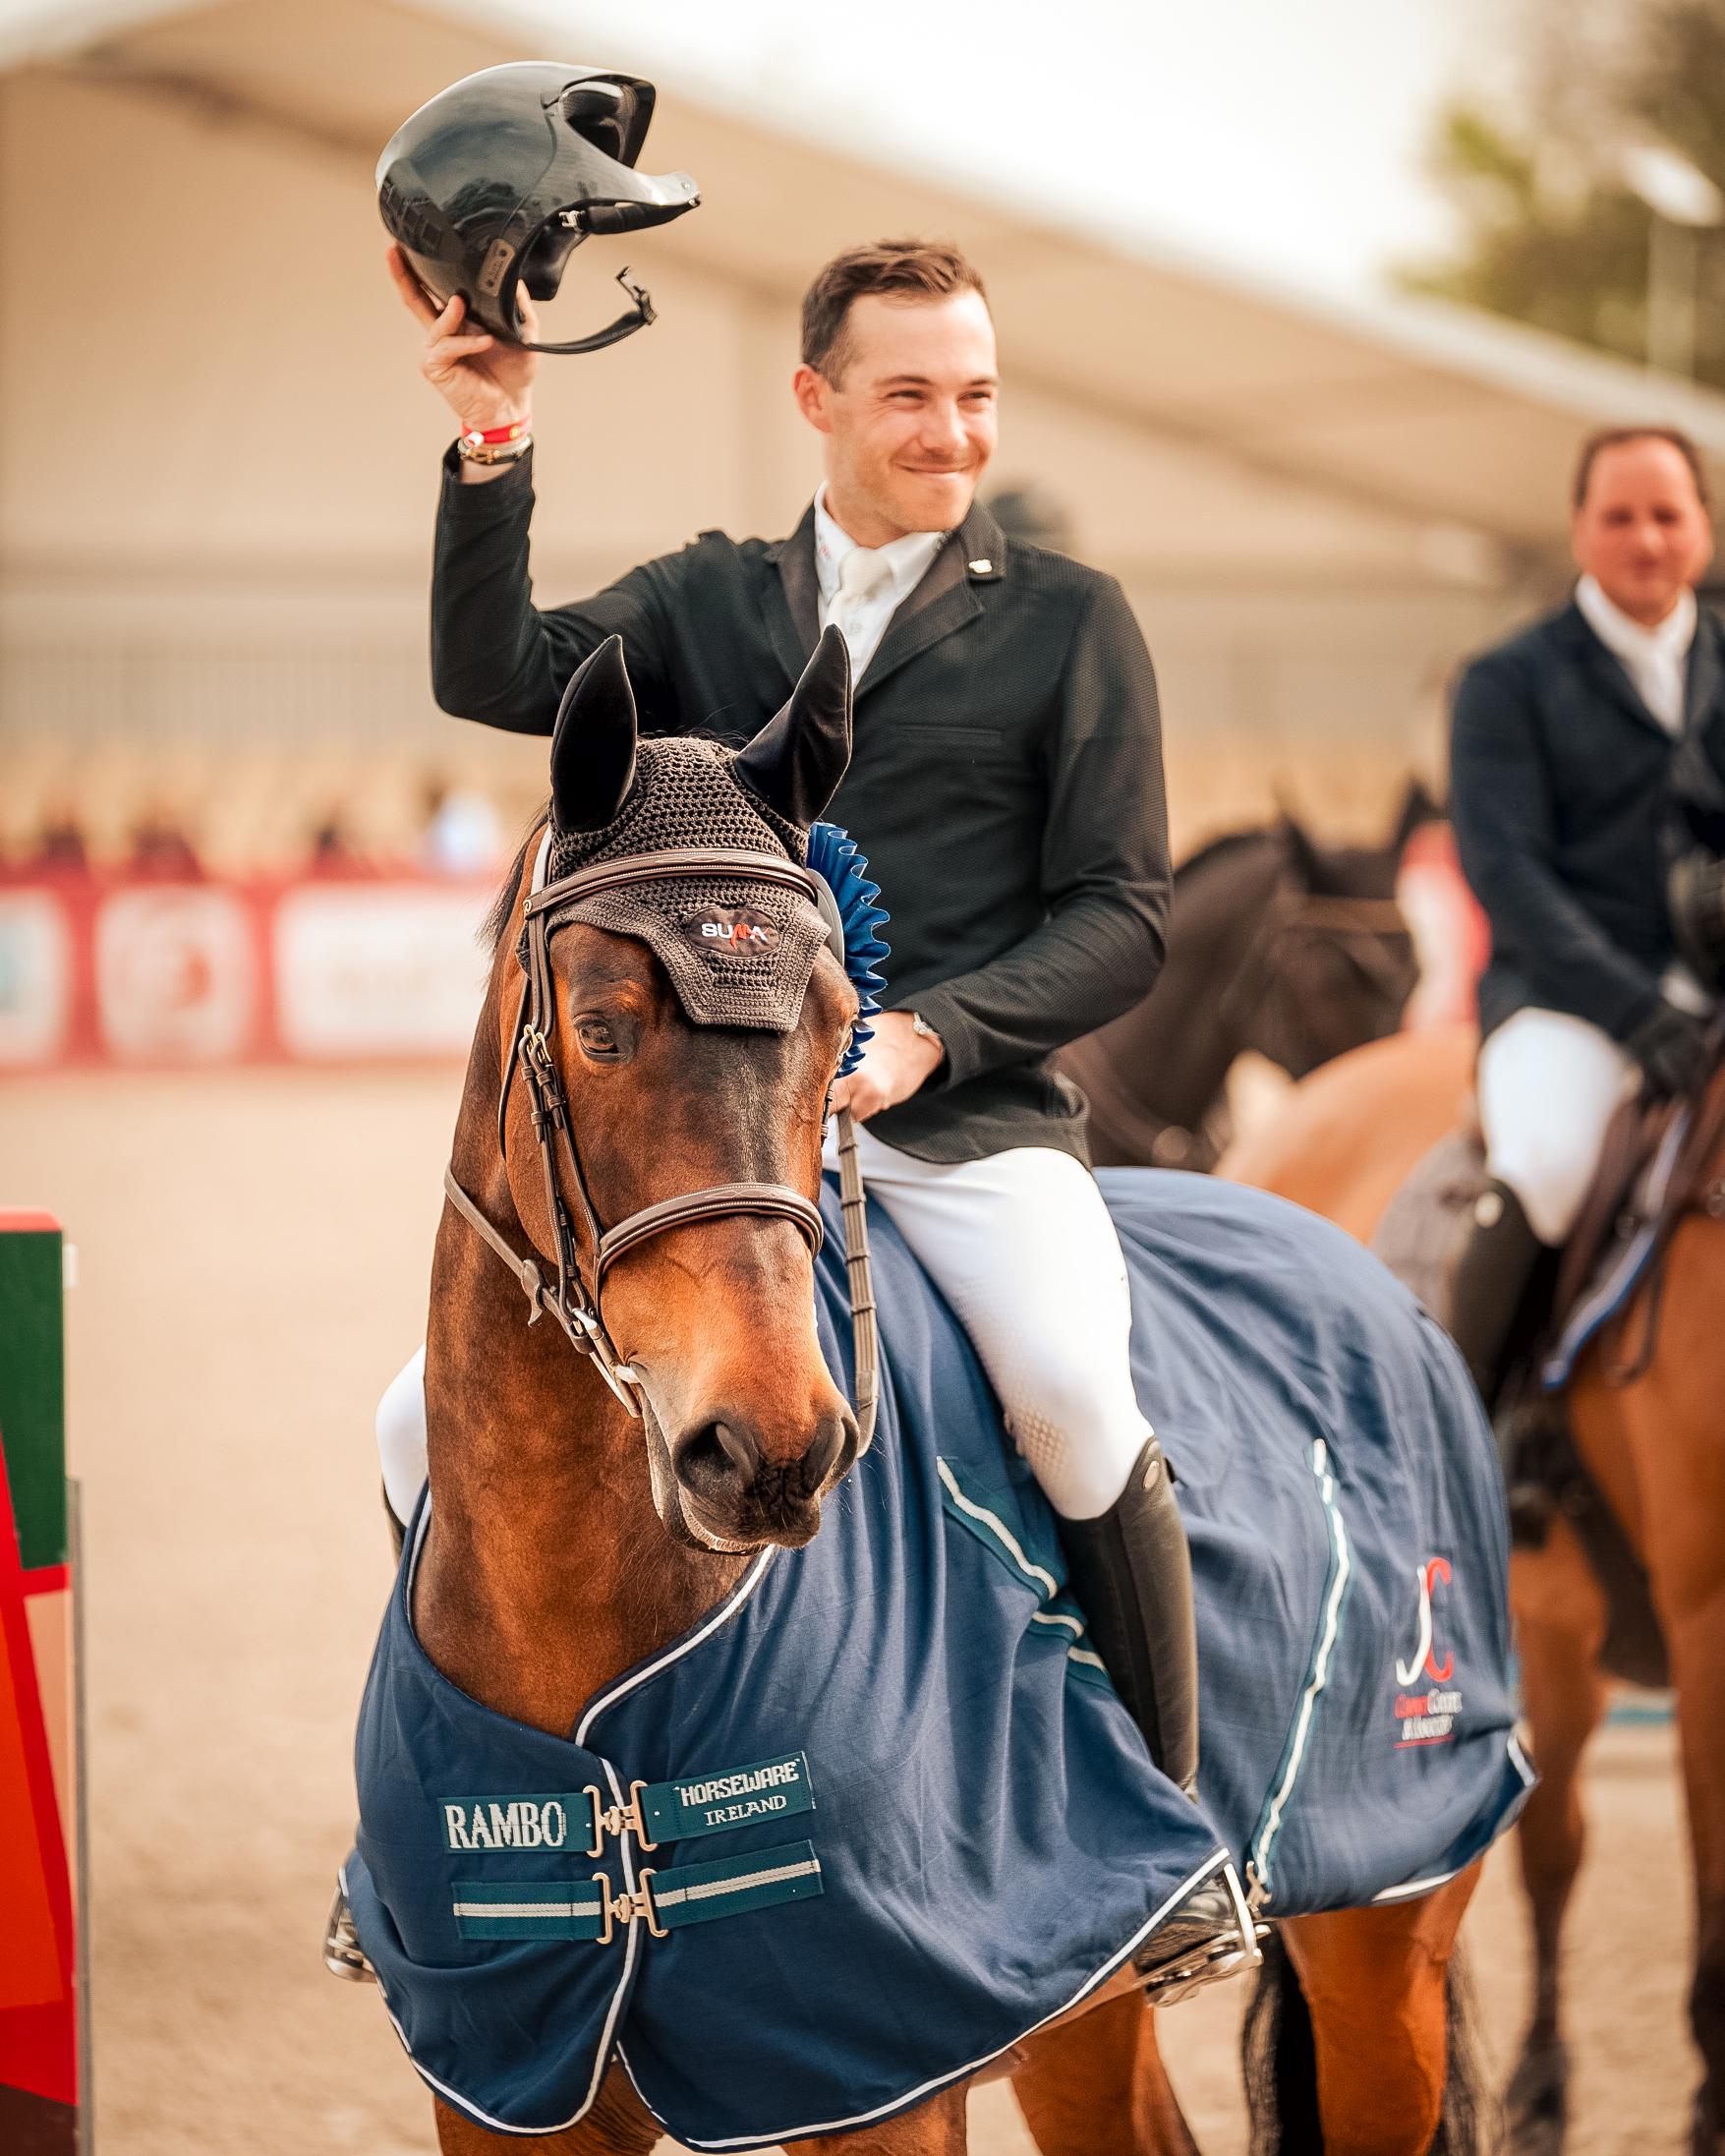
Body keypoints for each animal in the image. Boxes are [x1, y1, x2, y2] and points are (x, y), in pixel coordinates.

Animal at [387, 638, 1483, 2156]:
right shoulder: (510, 2090)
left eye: (843, 1025)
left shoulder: (880, 2070)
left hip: (1387, 1931)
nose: (772, 1450)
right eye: (599, 1031)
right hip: (1079, 1996)